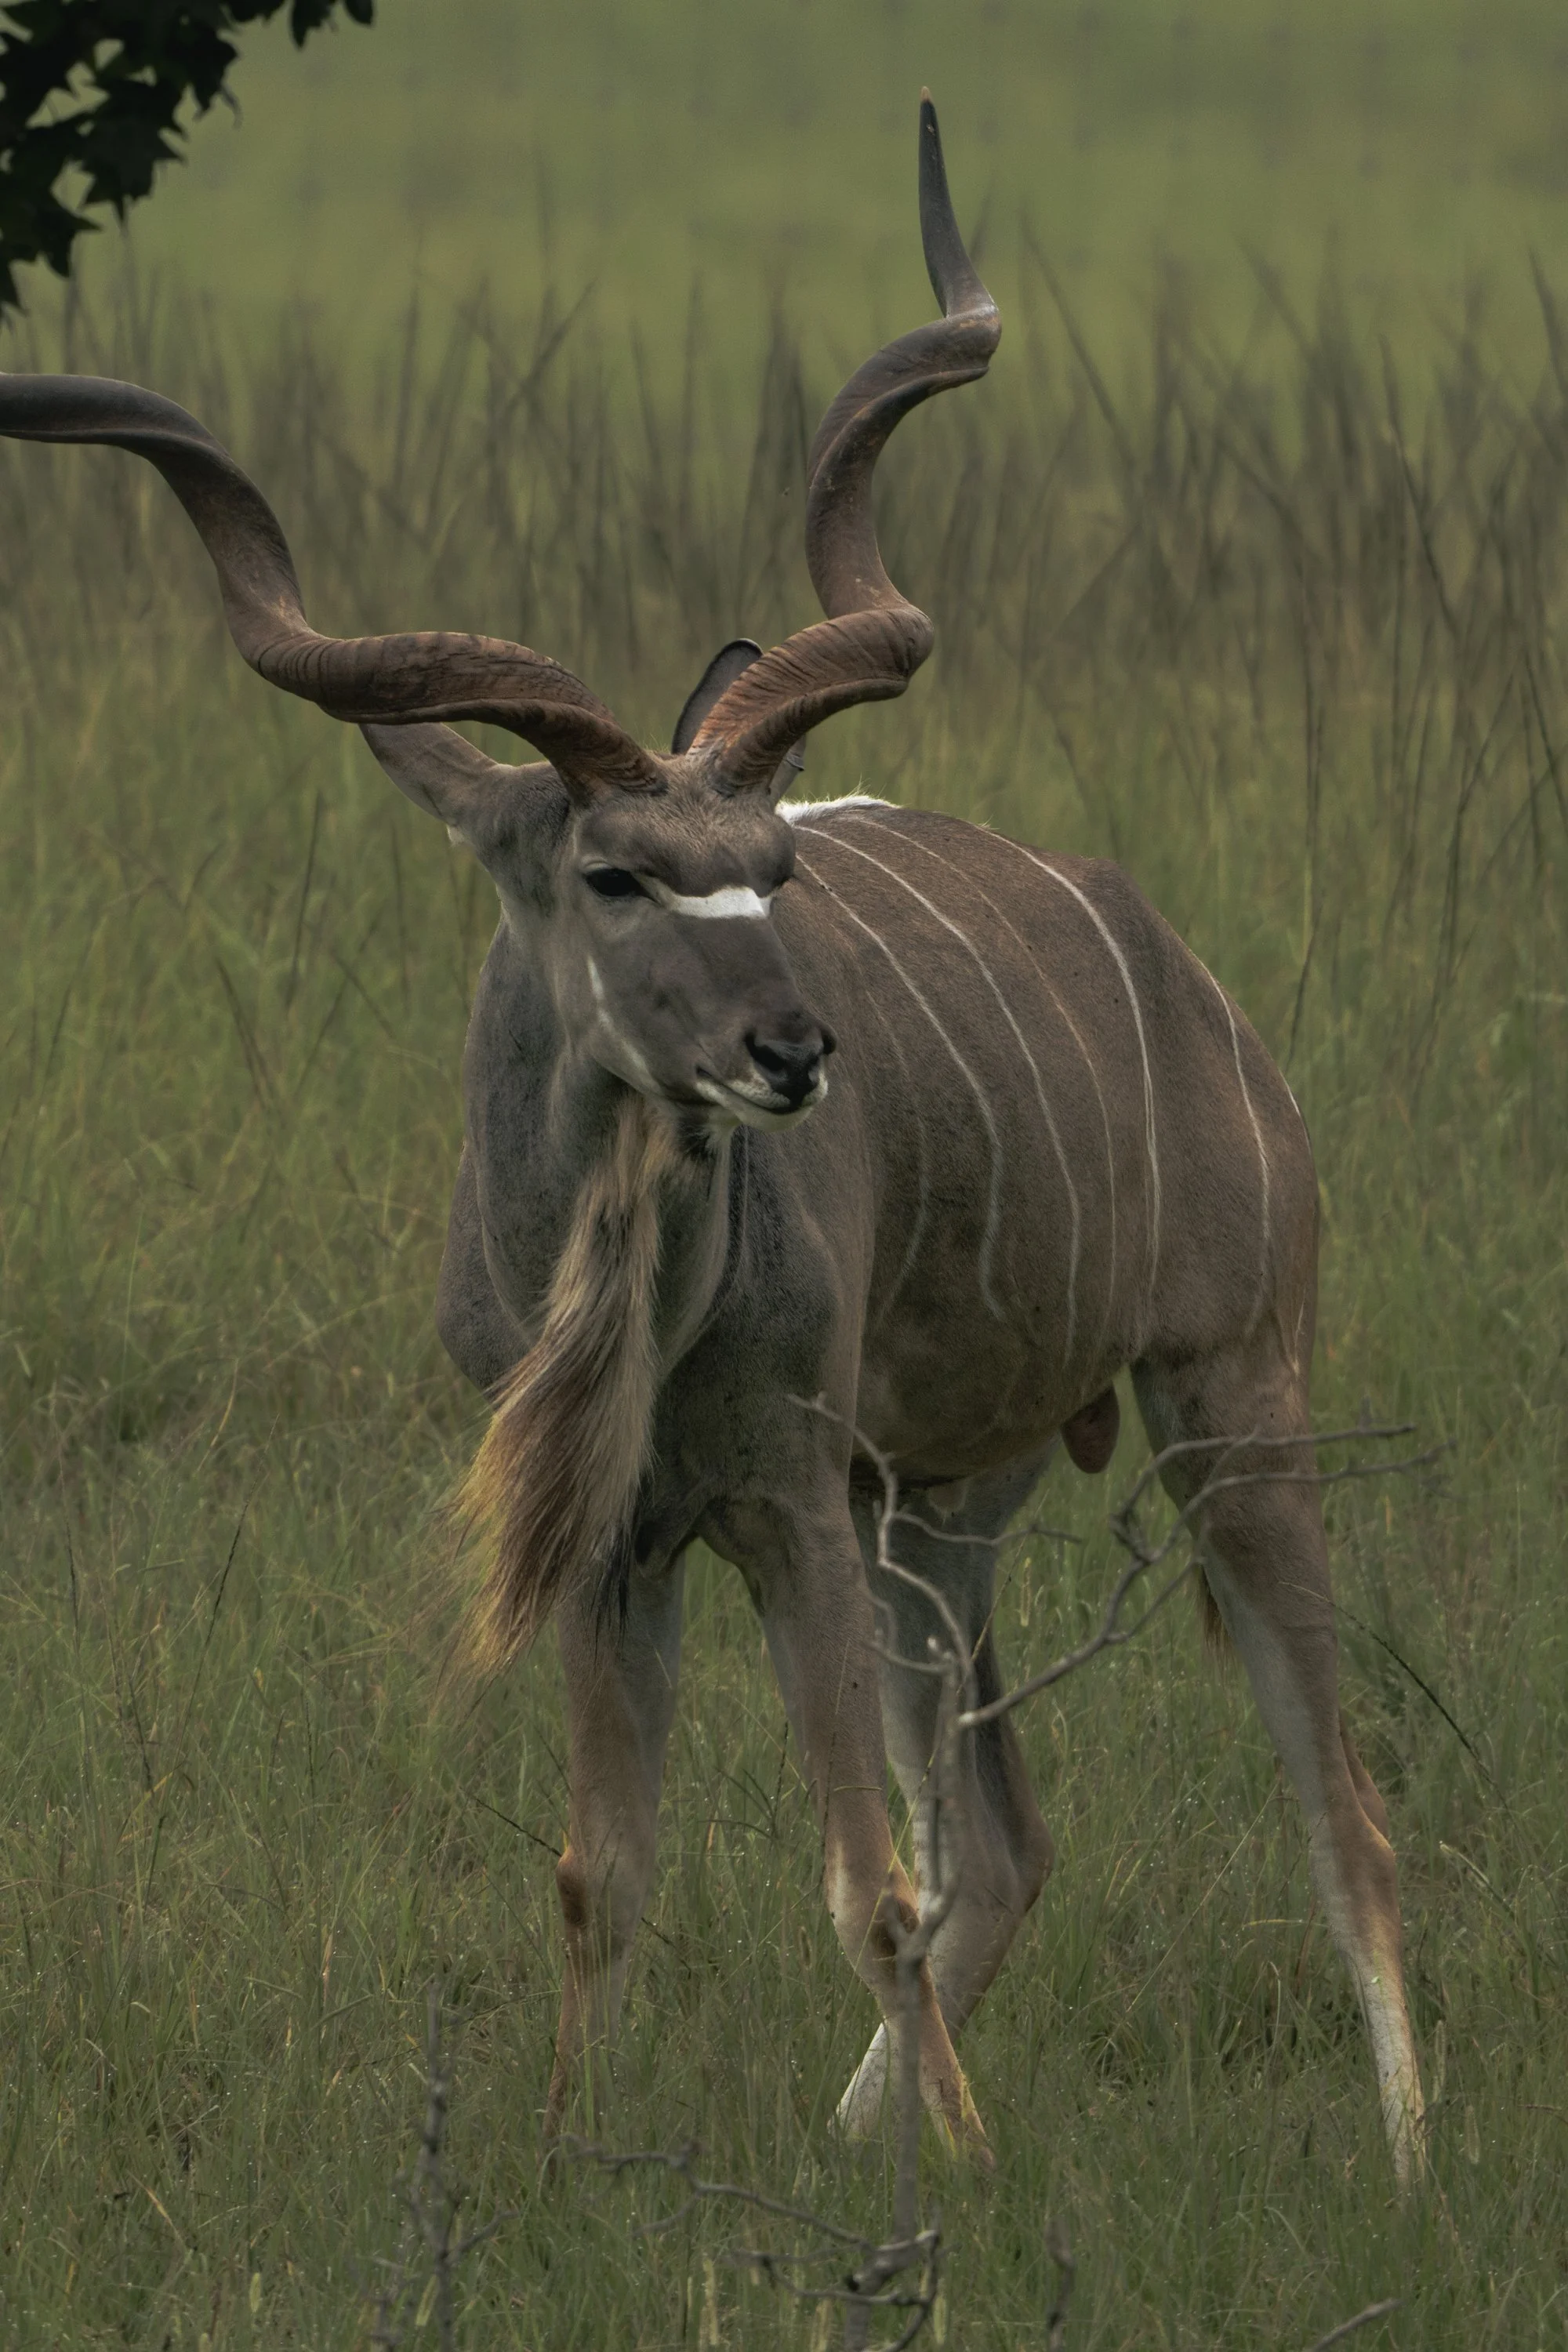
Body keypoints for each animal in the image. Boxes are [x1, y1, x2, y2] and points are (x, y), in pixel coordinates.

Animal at [0, 98, 1424, 2183]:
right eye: (613, 870)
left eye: (770, 865)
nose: (792, 1047)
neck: (627, 1303)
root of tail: (1203, 1002)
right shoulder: (625, 1536)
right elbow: (607, 1870)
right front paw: (560, 2161)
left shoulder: (782, 1497)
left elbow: (865, 1883)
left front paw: (961, 2184)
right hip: (943, 1502)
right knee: (1008, 1833)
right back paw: (868, 2128)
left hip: (1221, 1397)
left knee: (1334, 1807)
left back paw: (1401, 2165)